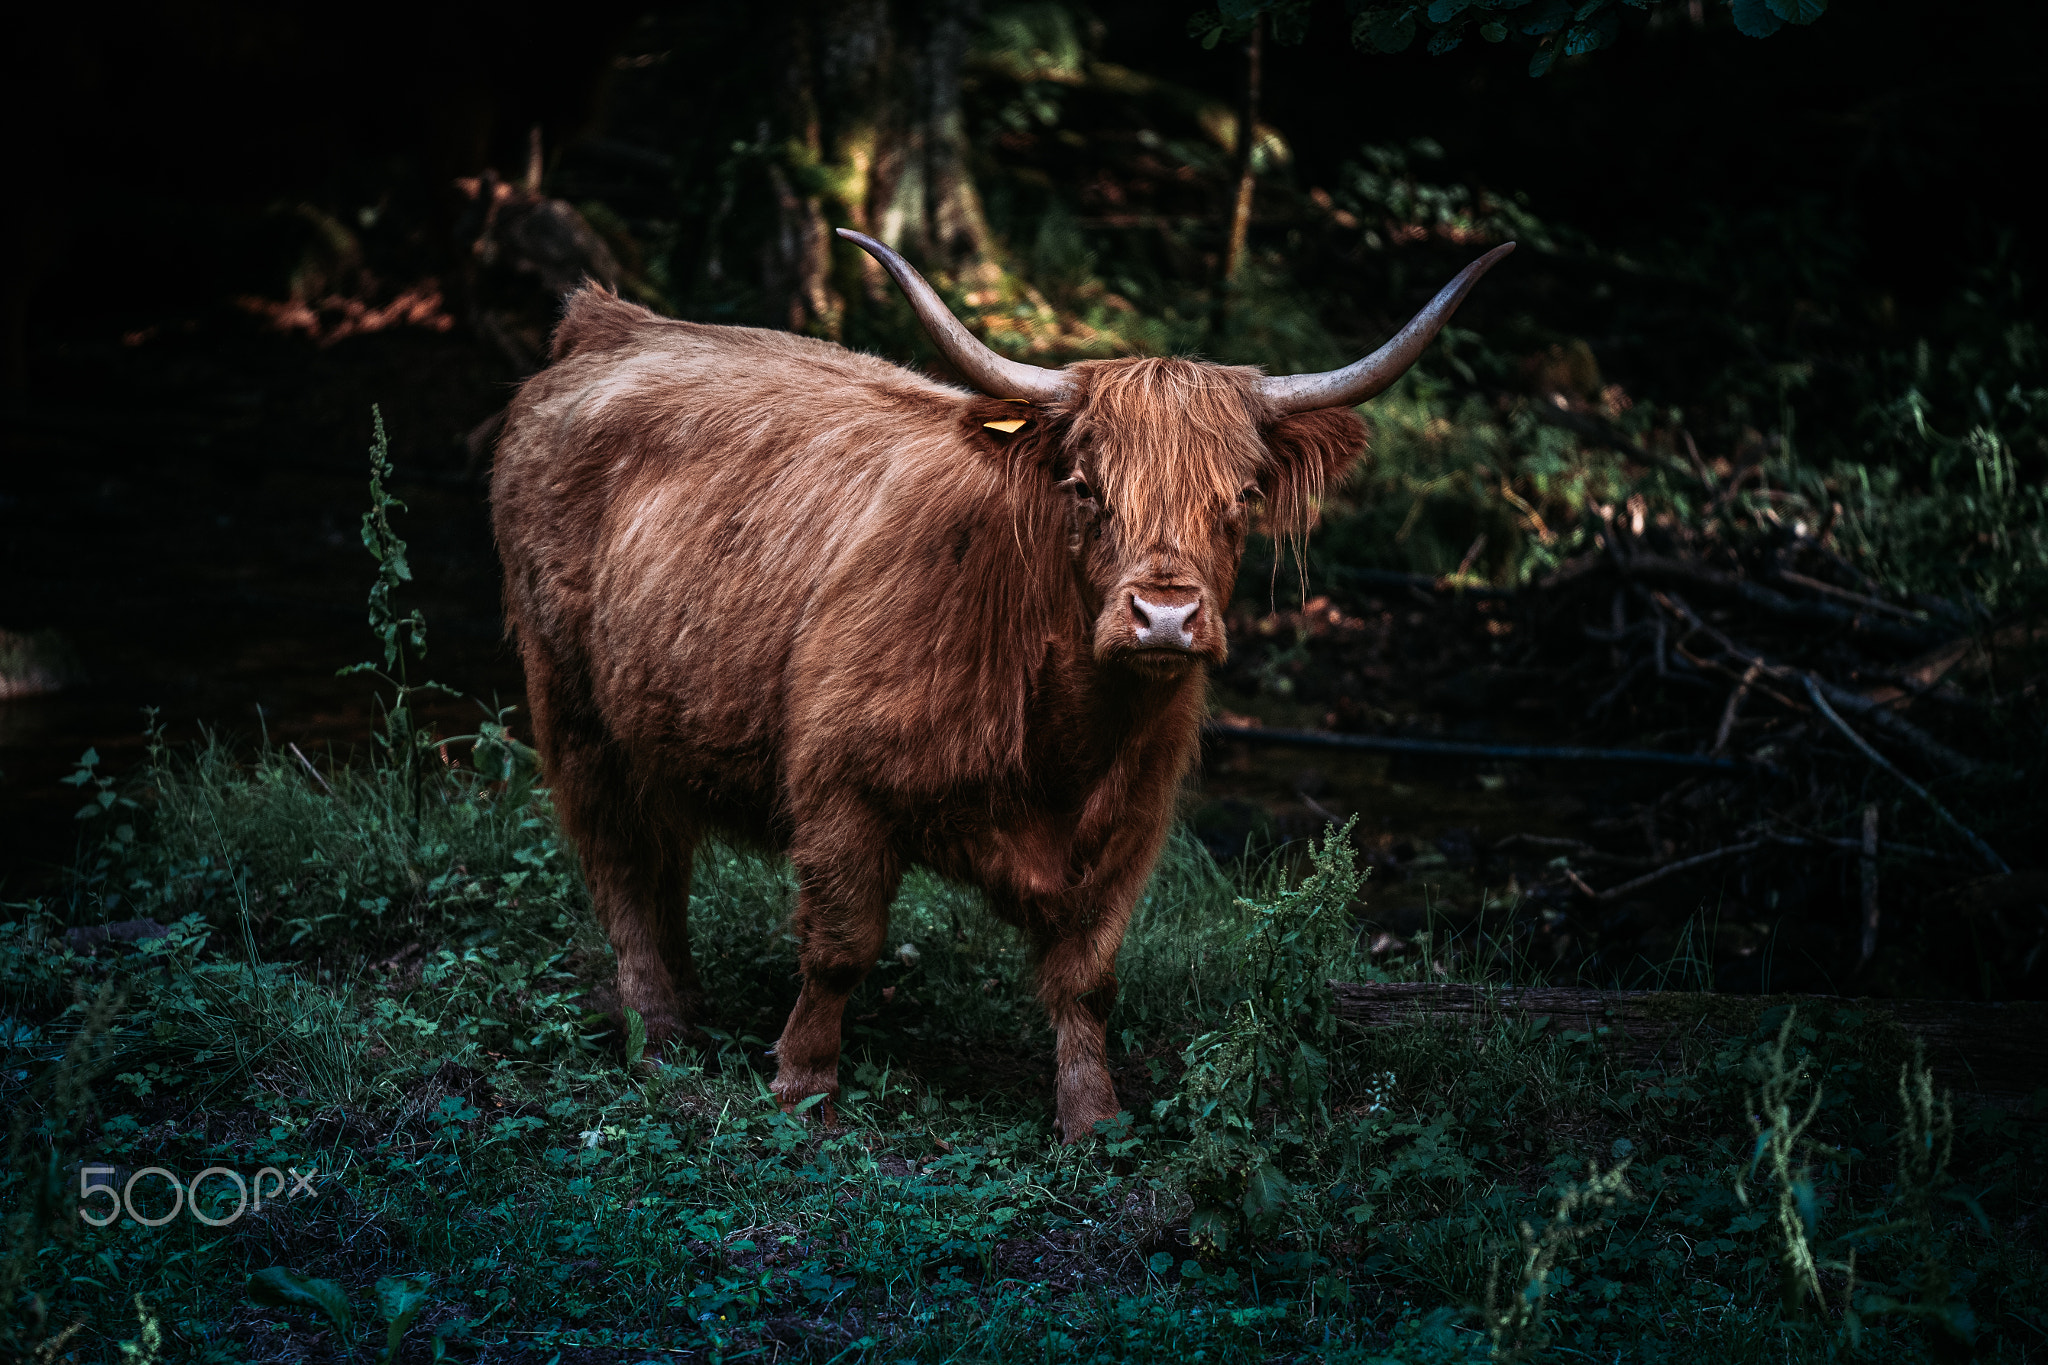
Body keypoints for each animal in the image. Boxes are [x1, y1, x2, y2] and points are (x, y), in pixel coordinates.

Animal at [491, 229, 1511, 1140]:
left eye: (1244, 496)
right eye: (1086, 486)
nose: (1165, 616)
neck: (1064, 738)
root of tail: (615, 322)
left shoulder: (1130, 823)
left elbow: (1088, 977)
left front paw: (1092, 1117)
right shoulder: (839, 788)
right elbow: (839, 946)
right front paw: (802, 1085)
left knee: (660, 861)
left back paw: (689, 1007)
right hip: (571, 705)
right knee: (619, 861)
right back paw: (659, 1032)